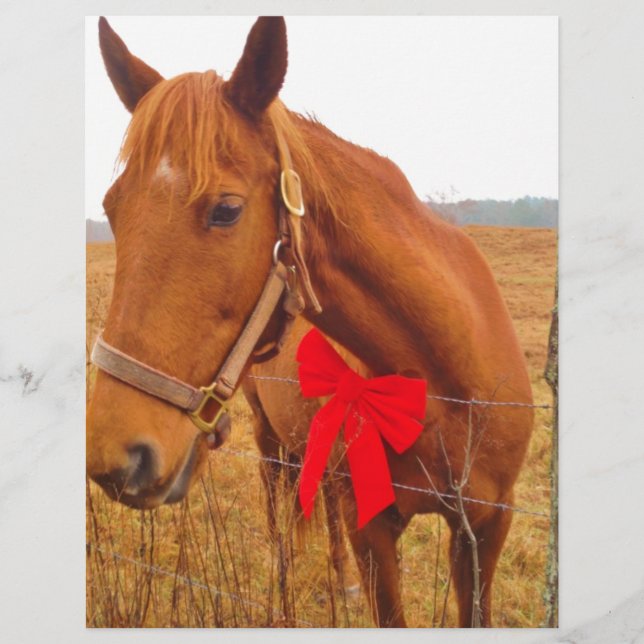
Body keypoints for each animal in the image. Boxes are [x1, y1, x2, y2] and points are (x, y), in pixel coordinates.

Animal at [86, 17, 534, 627]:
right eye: (112, 209)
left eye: (226, 210)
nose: (115, 454)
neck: (445, 384)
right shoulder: (375, 531)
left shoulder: (488, 525)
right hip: (269, 440)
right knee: (279, 514)